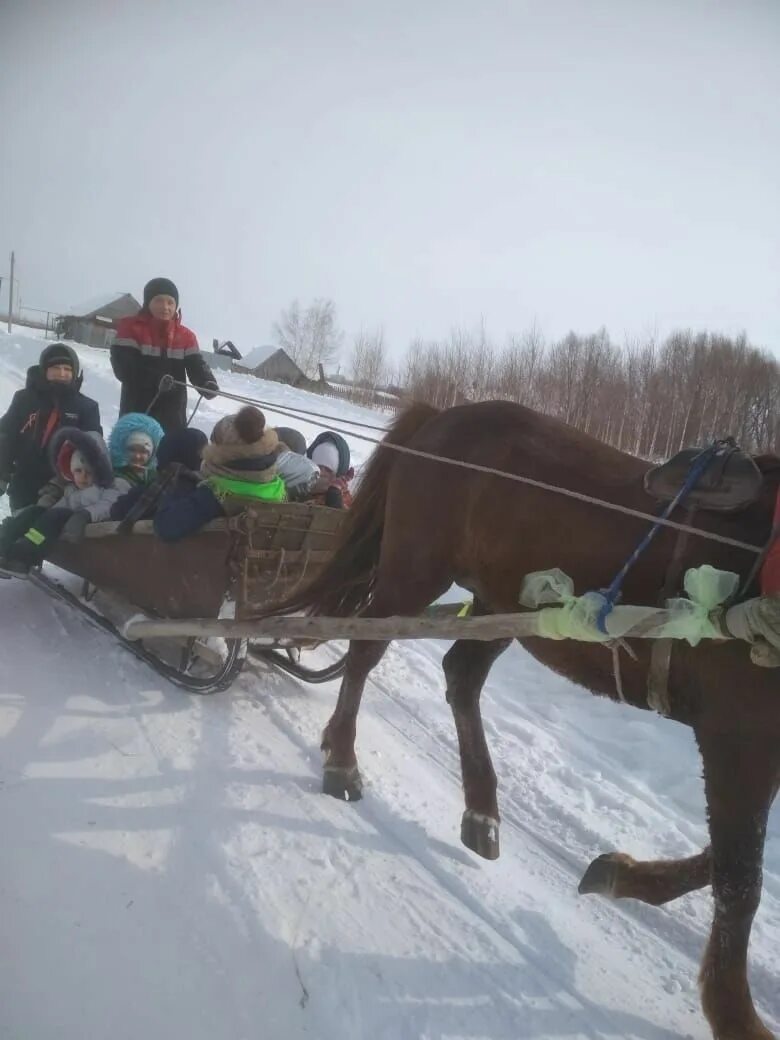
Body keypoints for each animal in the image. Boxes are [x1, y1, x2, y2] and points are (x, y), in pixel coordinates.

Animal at [272, 399, 780, 1040]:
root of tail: (442, 415)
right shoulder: (740, 736)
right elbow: (740, 879)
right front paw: (735, 1014)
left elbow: (726, 856)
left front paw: (621, 874)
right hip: (415, 572)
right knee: (365, 653)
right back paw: (343, 757)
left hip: (501, 603)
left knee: (461, 676)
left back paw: (482, 810)